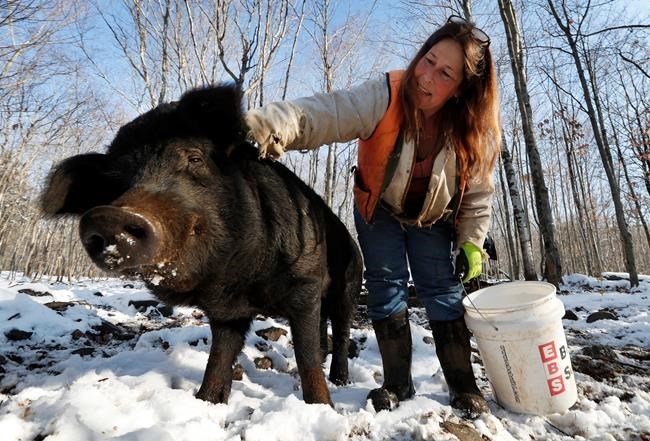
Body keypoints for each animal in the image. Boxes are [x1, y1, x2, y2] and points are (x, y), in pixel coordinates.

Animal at [40, 84, 362, 406]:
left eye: (194, 158)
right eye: (114, 183)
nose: (110, 216)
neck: (240, 282)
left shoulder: (304, 283)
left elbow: (306, 356)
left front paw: (321, 406)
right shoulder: (227, 312)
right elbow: (218, 357)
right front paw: (207, 401)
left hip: (348, 287)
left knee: (341, 332)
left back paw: (340, 379)